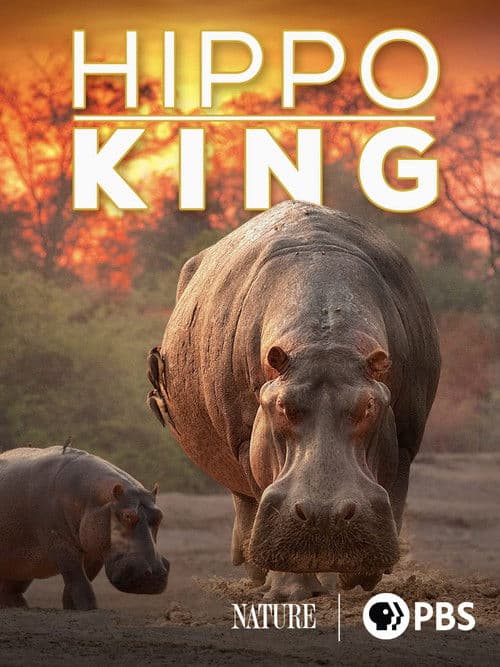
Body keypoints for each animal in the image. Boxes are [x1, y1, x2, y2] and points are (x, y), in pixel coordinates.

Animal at [0, 446, 169, 609]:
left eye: (160, 515)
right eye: (127, 515)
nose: (155, 574)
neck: (92, 497)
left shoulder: (94, 550)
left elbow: (82, 579)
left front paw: (71, 606)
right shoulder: (60, 543)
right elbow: (78, 578)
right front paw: (88, 607)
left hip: (22, 565)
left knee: (11, 589)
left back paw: (19, 606)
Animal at [147, 201, 440, 601]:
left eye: (369, 406)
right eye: (282, 406)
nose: (325, 516)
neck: (324, 340)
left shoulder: (407, 439)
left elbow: (393, 498)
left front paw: (359, 577)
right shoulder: (247, 439)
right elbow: (261, 490)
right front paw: (289, 593)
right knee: (246, 503)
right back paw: (258, 573)